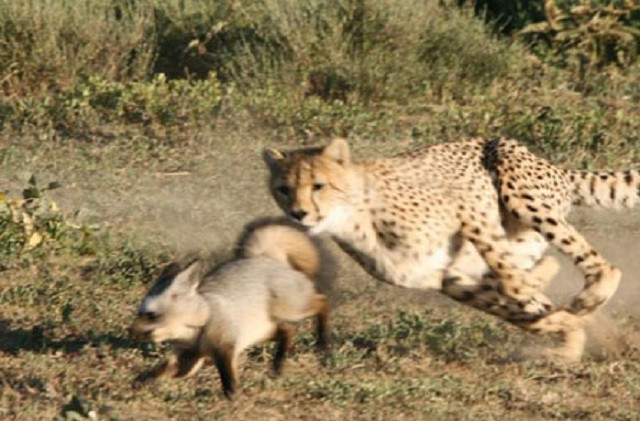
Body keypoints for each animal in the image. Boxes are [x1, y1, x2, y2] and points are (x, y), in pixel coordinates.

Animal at [262, 137, 640, 360]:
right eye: (283, 189)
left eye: (318, 185)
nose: (298, 213)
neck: (353, 214)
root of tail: (553, 167)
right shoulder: (450, 279)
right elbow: (527, 310)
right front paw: (569, 340)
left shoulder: (467, 212)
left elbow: (511, 279)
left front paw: (549, 298)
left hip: (519, 191)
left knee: (595, 265)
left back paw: (590, 295)